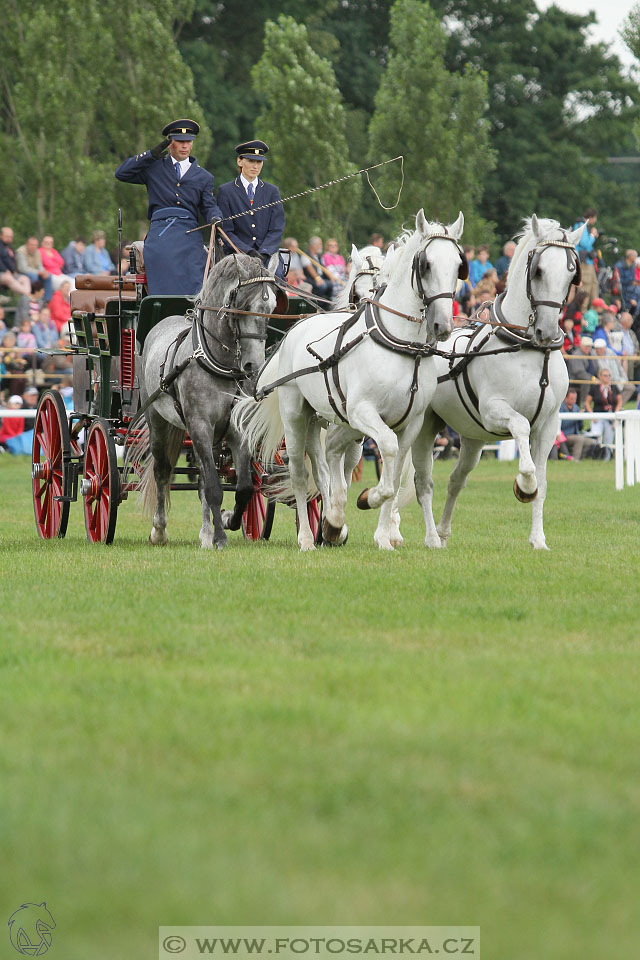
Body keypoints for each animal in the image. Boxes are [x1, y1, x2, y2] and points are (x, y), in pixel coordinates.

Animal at [232, 213, 468, 552]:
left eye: (458, 265)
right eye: (426, 265)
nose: (443, 325)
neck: (400, 344)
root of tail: (295, 329)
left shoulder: (408, 424)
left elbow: (393, 472)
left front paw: (381, 533)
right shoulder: (361, 413)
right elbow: (381, 454)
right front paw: (365, 501)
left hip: (319, 420)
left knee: (324, 463)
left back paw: (332, 523)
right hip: (295, 415)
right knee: (301, 473)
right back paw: (308, 536)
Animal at [380, 214, 584, 552]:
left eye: (571, 272)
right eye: (539, 270)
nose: (547, 330)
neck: (528, 350)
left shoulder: (549, 424)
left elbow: (542, 484)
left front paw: (538, 540)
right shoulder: (494, 411)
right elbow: (522, 434)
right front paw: (523, 485)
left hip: (473, 438)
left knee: (456, 480)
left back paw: (443, 531)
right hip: (424, 428)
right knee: (420, 482)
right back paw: (426, 536)